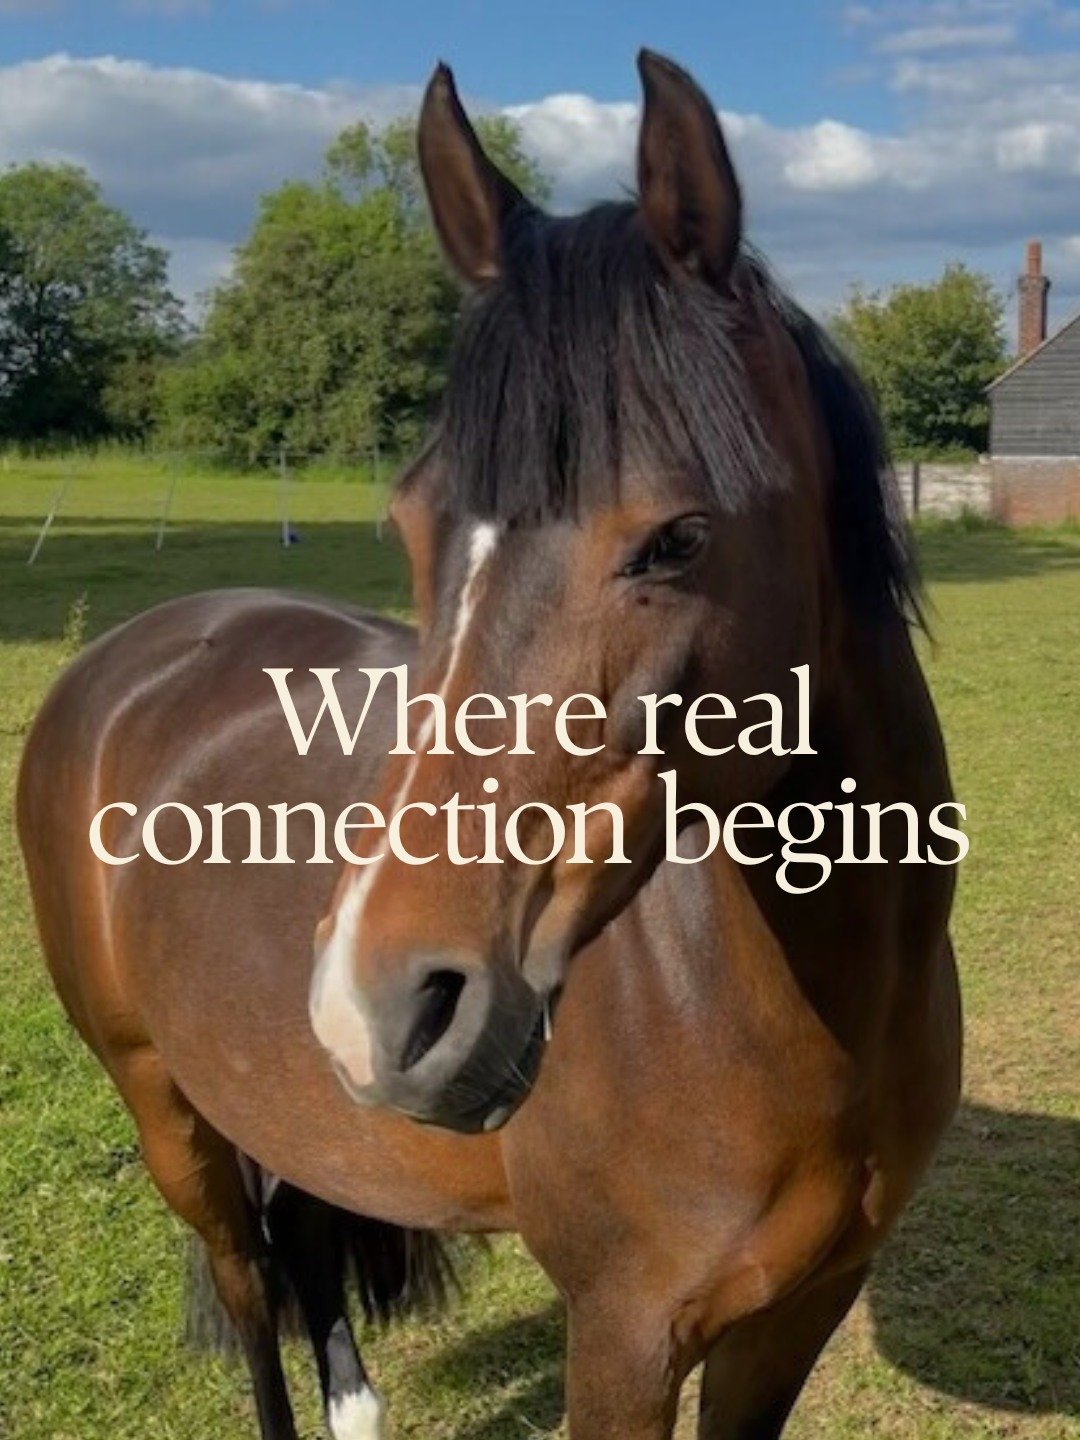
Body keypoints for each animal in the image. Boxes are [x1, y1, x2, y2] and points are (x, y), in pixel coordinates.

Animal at [17, 51, 962, 1440]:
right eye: (412, 522)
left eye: (679, 536)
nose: (376, 1006)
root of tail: (127, 658)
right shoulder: (624, 1336)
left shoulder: (796, 1316)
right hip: (163, 1108)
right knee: (248, 1289)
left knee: (309, 1244)